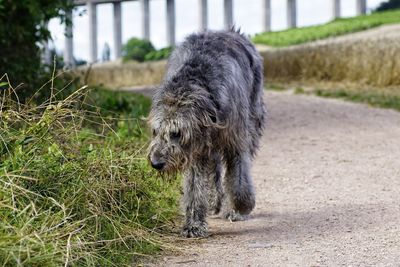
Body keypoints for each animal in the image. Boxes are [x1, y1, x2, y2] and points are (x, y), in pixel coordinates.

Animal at [148, 29, 266, 239]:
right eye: (156, 131)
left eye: (177, 133)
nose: (156, 163)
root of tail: (232, 31)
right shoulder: (194, 151)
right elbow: (195, 187)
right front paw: (194, 224)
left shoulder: (235, 140)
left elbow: (239, 178)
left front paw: (239, 207)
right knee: (214, 170)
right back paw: (214, 201)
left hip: (253, 117)